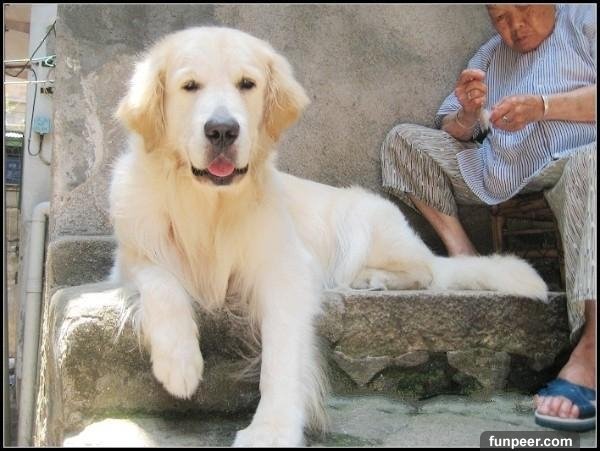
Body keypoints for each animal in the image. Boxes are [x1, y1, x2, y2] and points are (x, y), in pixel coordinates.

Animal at [109, 26, 547, 446]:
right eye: (190, 86)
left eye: (247, 84)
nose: (221, 131)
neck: (207, 205)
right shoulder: (131, 255)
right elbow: (160, 281)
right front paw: (179, 364)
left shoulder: (286, 269)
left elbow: (282, 355)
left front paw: (272, 429)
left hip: (363, 218)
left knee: (423, 271)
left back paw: (372, 280)